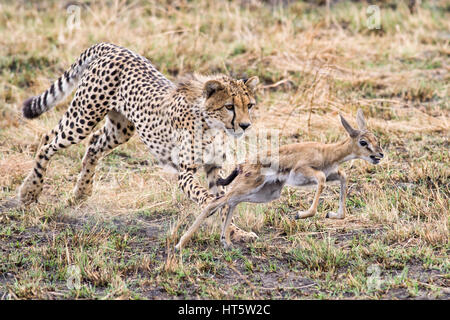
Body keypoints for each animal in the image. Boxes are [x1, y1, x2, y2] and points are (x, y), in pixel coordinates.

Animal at [18, 43, 260, 242]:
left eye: (249, 105)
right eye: (229, 107)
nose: (246, 125)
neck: (213, 125)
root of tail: (113, 47)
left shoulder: (213, 167)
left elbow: (225, 201)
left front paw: (235, 232)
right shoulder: (185, 172)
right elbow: (204, 195)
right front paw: (216, 213)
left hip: (121, 128)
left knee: (93, 144)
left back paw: (81, 193)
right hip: (83, 118)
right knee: (48, 140)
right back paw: (30, 192)